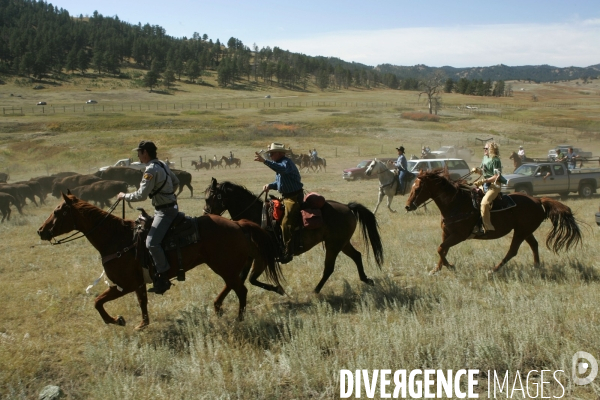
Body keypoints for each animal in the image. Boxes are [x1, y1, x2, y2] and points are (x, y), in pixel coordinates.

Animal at [38, 193, 286, 328]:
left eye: (58, 212)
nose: (41, 231)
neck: (116, 239)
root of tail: (238, 224)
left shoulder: (125, 284)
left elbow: (98, 302)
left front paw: (118, 321)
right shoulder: (136, 283)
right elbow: (137, 302)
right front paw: (137, 323)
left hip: (224, 266)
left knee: (241, 290)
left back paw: (238, 318)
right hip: (227, 267)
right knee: (234, 286)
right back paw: (220, 308)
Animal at [205, 178, 384, 294]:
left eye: (208, 198)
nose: (206, 215)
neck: (256, 217)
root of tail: (347, 207)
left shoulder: (263, 258)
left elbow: (251, 279)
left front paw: (278, 289)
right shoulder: (251, 258)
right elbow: (242, 279)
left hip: (333, 245)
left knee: (329, 268)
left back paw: (316, 291)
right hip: (342, 243)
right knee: (357, 256)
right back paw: (366, 279)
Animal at [404, 169, 580, 276]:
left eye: (418, 188)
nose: (407, 206)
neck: (456, 203)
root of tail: (538, 200)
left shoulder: (459, 235)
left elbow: (441, 249)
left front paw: (450, 266)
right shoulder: (446, 233)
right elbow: (442, 250)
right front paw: (436, 269)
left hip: (521, 231)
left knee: (512, 251)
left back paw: (493, 270)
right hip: (525, 230)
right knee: (534, 245)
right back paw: (536, 267)